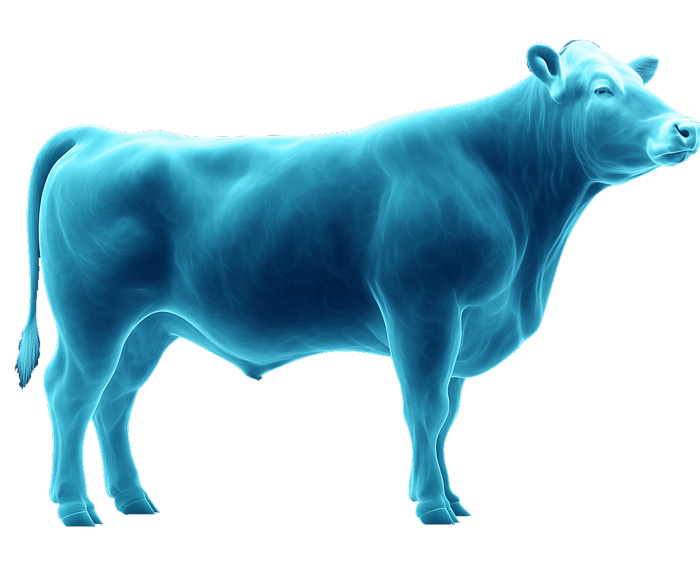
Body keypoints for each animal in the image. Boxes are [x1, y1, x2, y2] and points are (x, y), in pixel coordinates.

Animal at [15, 40, 700, 527]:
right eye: (603, 89)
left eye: (646, 83)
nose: (684, 128)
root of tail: (102, 135)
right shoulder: (424, 309)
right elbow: (425, 408)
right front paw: (434, 511)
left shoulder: (461, 324)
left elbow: (445, 416)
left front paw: (454, 503)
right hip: (94, 317)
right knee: (71, 394)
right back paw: (76, 511)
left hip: (149, 324)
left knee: (114, 400)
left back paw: (135, 505)